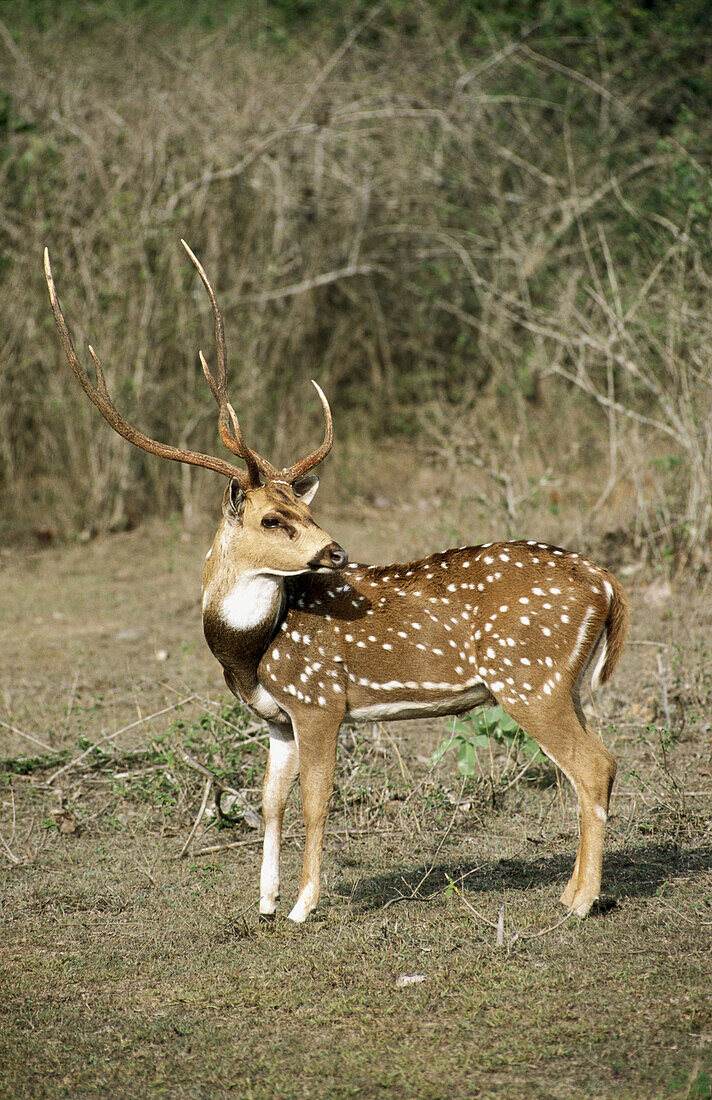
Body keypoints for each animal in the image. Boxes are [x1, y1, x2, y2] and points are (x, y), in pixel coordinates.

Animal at [44, 245, 629, 924]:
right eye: (274, 518)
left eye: (304, 508)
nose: (335, 551)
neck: (250, 650)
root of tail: (606, 583)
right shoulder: (277, 717)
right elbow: (269, 801)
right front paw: (265, 903)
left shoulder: (320, 700)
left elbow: (314, 801)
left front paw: (302, 907)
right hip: (564, 682)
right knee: (600, 762)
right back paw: (571, 891)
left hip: (528, 677)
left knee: (594, 766)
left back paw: (580, 902)